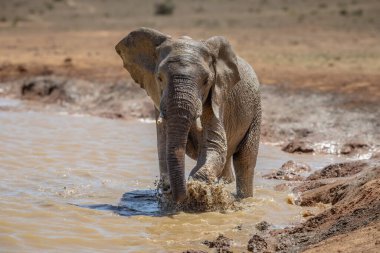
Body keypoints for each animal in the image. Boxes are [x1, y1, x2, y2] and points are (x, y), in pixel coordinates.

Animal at [116, 26, 262, 203]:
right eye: (159, 78)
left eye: (206, 81)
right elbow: (163, 144)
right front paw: (170, 190)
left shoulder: (217, 98)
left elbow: (215, 145)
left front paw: (195, 187)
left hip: (255, 110)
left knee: (245, 161)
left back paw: (243, 199)